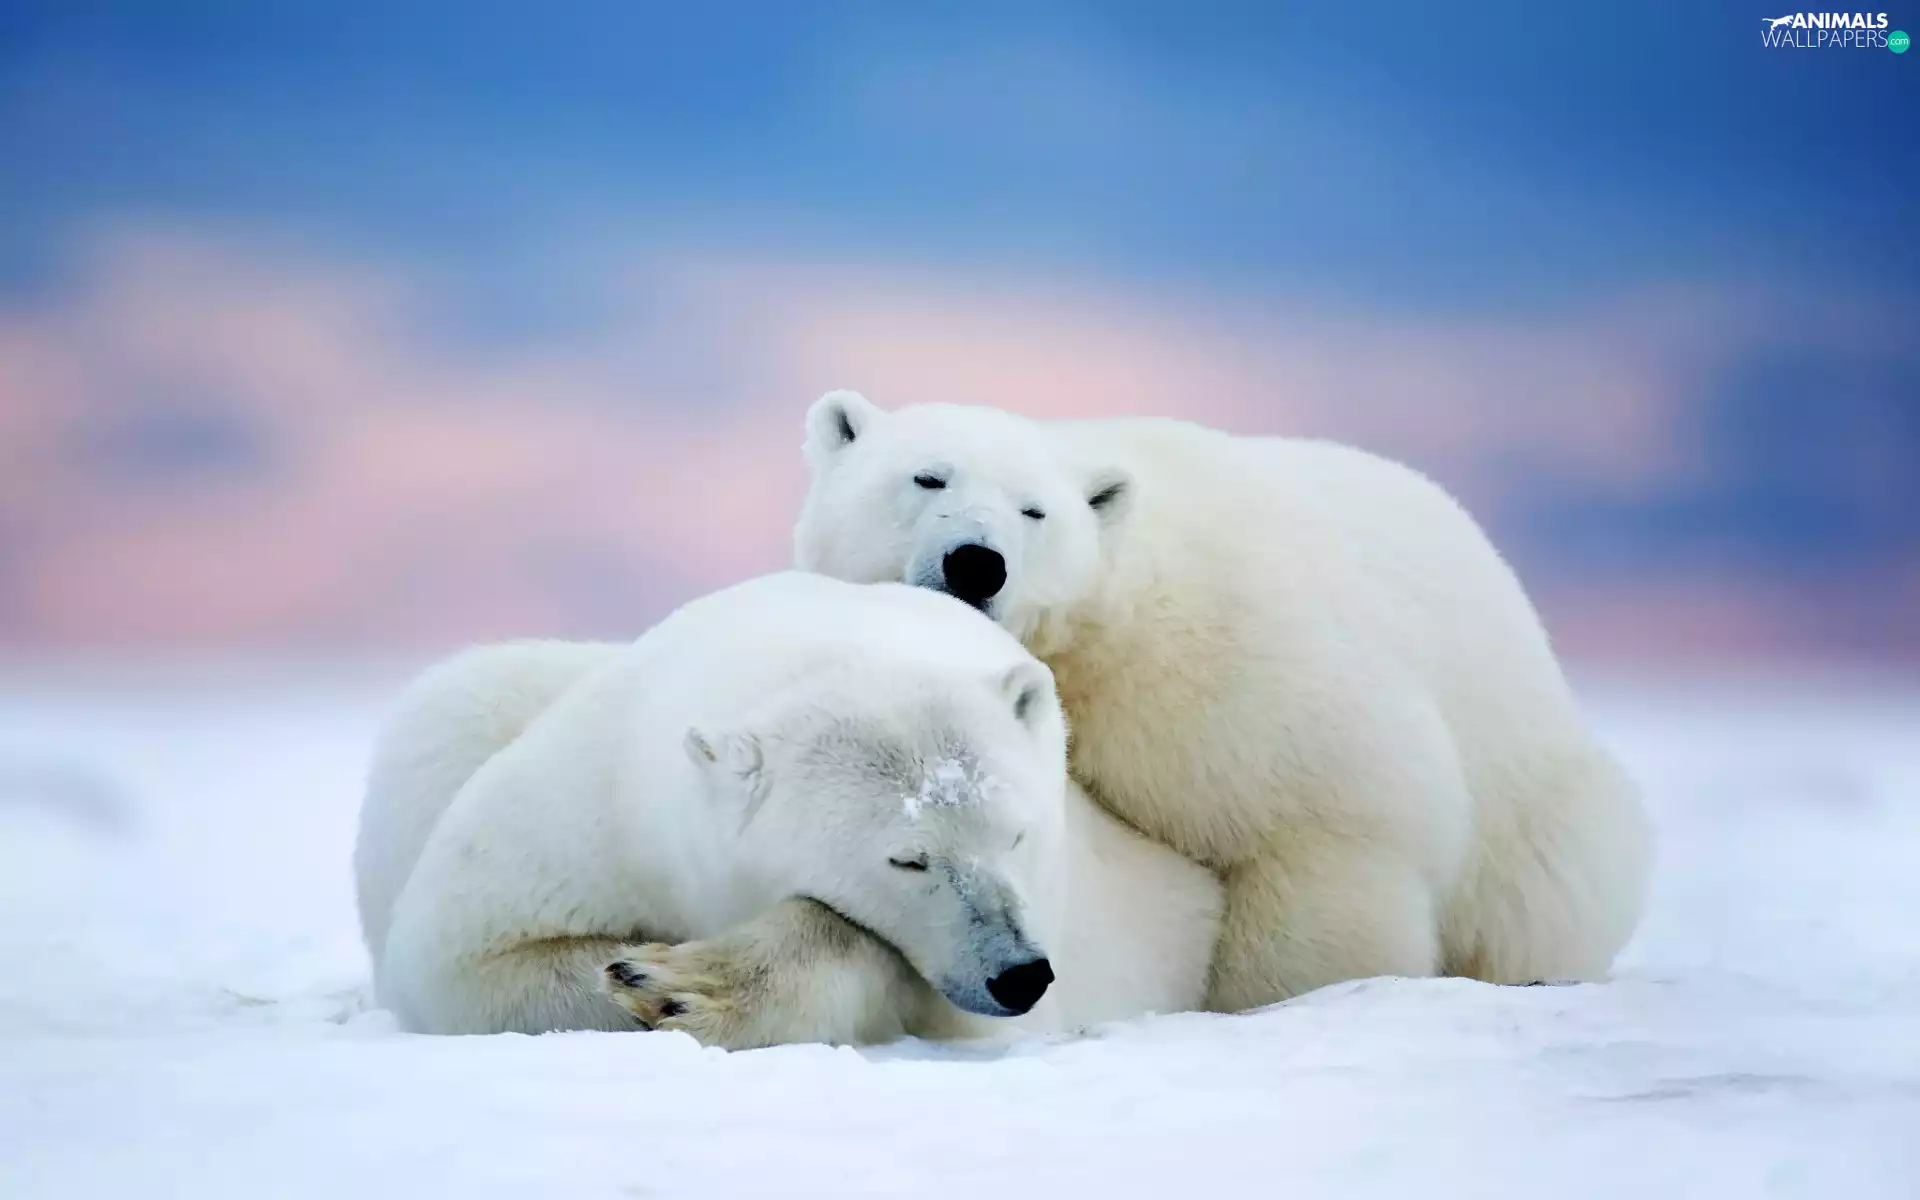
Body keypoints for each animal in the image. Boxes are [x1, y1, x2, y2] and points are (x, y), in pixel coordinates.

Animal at [354, 571, 1221, 1045]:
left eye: (1017, 834)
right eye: (908, 858)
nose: (1019, 973)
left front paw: (683, 984)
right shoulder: (597, 805)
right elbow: (467, 957)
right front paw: (644, 973)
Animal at [792, 391, 1652, 1013]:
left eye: (1035, 511)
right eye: (927, 477)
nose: (977, 561)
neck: (1104, 632)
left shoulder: (1232, 681)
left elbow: (1321, 833)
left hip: (1533, 809)